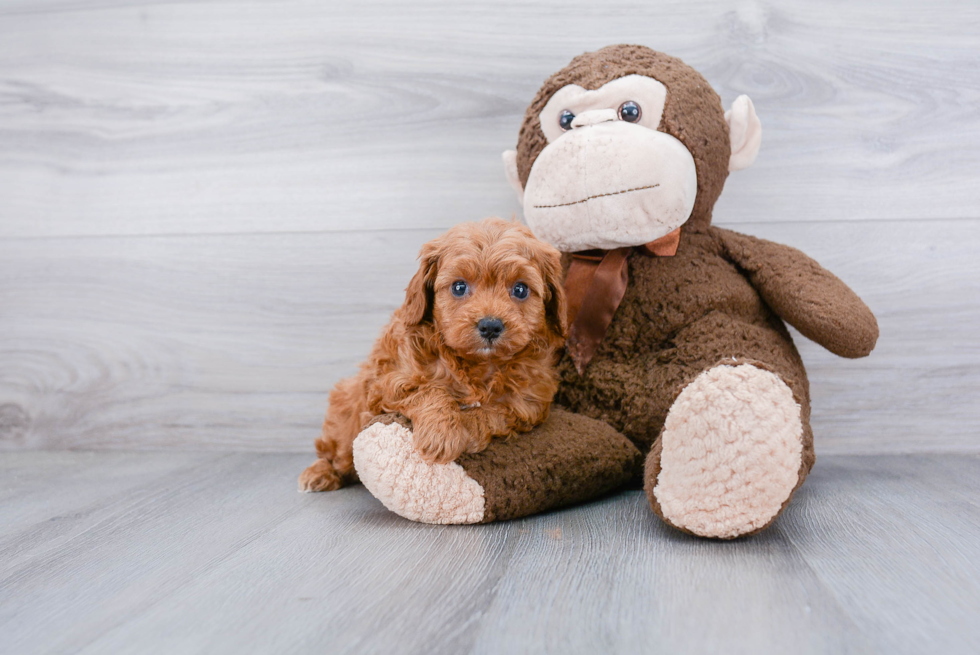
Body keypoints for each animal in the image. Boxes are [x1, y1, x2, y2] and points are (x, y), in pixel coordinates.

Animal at [296, 218, 568, 494]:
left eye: (521, 290)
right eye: (459, 287)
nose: (490, 326)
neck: (479, 365)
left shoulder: (526, 404)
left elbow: (490, 413)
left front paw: (465, 431)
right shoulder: (390, 382)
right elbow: (430, 390)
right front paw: (440, 435)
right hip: (345, 409)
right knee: (336, 453)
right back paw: (319, 473)